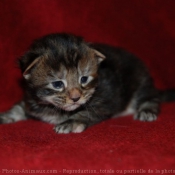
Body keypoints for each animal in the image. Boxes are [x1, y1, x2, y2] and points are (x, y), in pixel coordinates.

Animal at [0, 33, 175, 133]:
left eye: (83, 79)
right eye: (57, 84)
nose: (76, 98)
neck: (53, 108)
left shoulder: (105, 99)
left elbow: (85, 113)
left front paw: (71, 123)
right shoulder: (31, 100)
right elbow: (19, 107)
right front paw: (6, 115)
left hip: (140, 81)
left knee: (150, 97)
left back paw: (147, 110)